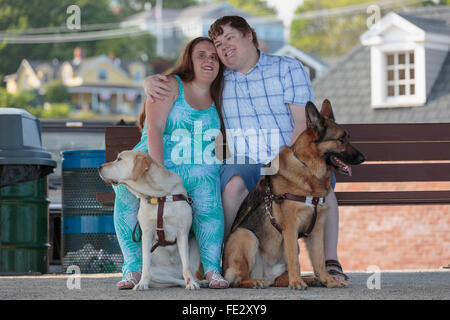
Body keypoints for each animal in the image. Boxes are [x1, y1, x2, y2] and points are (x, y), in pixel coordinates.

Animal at [100, 150, 204, 290]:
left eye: (119, 159)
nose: (99, 167)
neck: (158, 196)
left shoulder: (182, 233)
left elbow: (186, 266)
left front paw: (191, 282)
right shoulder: (147, 233)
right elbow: (146, 266)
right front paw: (142, 283)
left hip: (195, 246)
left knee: (187, 272)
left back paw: (199, 281)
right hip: (160, 275)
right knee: (175, 280)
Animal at [221, 100, 366, 290]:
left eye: (348, 137)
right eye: (341, 139)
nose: (363, 158)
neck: (308, 168)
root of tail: (265, 276)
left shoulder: (317, 229)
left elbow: (319, 260)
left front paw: (329, 281)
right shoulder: (290, 227)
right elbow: (294, 260)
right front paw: (296, 282)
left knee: (278, 279)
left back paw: (310, 279)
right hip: (245, 236)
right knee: (237, 280)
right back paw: (255, 281)